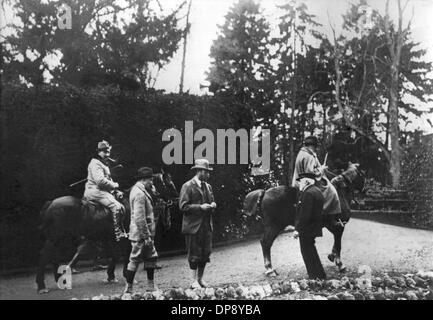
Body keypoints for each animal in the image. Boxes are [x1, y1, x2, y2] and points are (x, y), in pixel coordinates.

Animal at [35, 171, 177, 294]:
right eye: (169, 183)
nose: (176, 197)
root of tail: (51, 203)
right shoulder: (126, 238)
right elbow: (125, 255)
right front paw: (125, 276)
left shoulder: (110, 238)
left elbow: (115, 255)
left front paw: (111, 276)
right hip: (55, 238)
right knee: (44, 255)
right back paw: (42, 286)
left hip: (60, 239)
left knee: (54, 256)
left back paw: (59, 279)